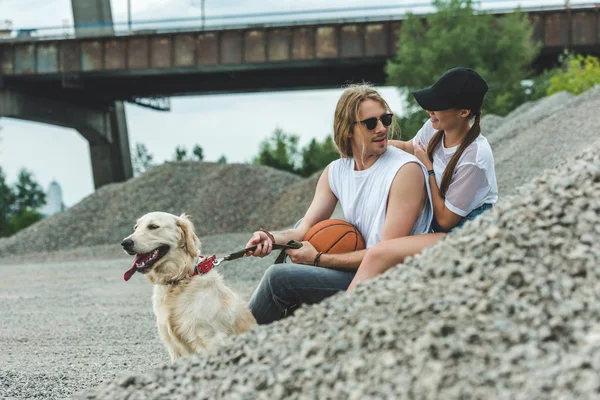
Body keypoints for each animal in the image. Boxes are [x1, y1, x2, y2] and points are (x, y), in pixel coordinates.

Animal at [119, 211, 255, 360]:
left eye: (153, 226)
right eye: (136, 227)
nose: (125, 243)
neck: (180, 279)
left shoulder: (210, 340)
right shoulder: (174, 348)